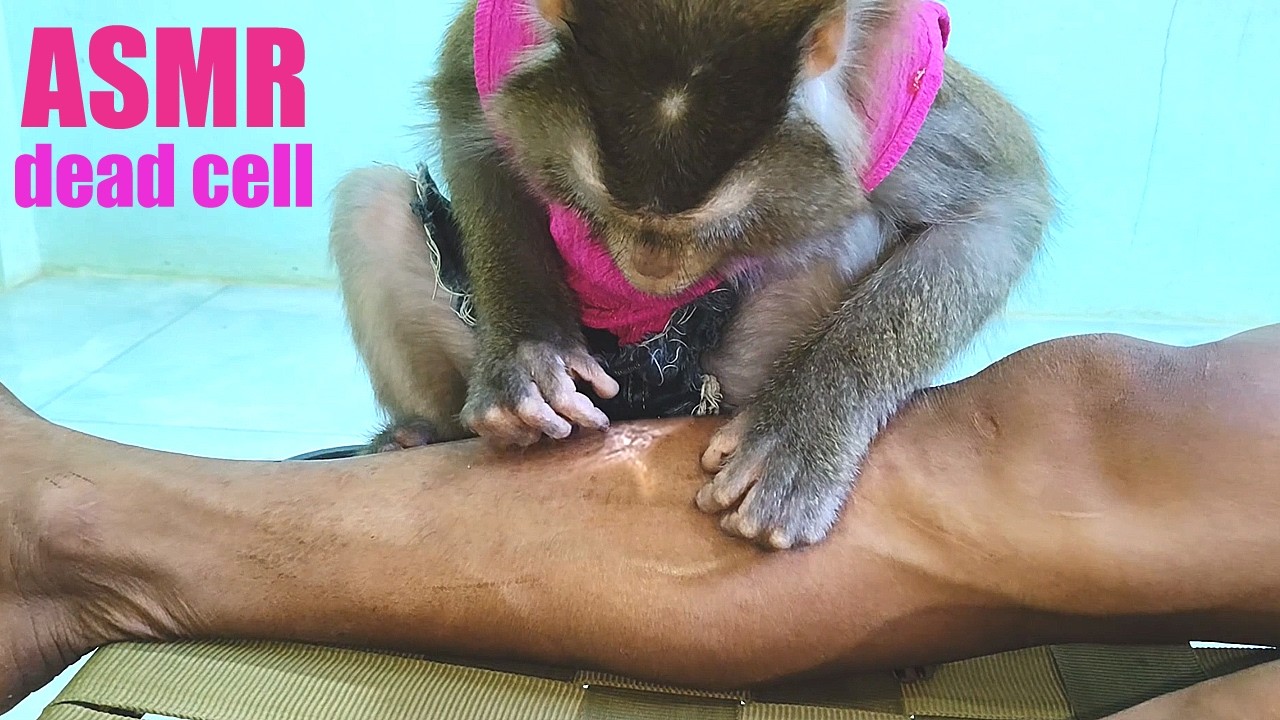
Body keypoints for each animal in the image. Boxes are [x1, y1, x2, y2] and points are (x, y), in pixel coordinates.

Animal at [329, 0, 1054, 549]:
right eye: (609, 207)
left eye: (719, 226)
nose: (651, 264)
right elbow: (469, 114)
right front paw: (526, 356)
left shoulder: (892, 73)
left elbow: (999, 210)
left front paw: (804, 432)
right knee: (372, 203)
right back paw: (420, 435)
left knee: (850, 226)